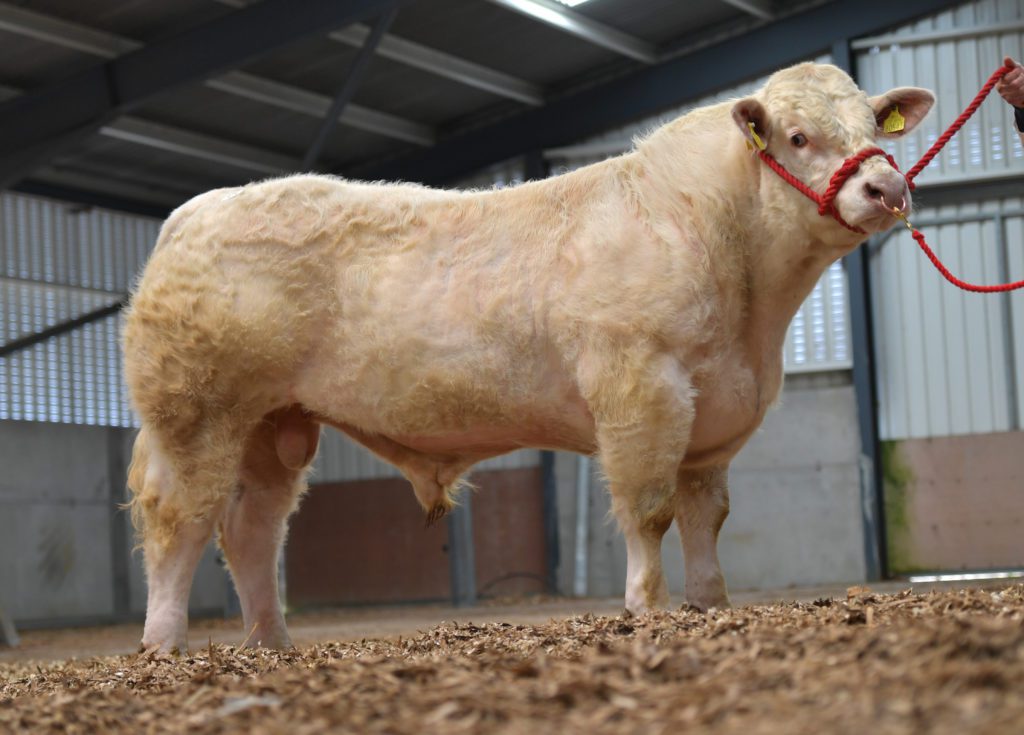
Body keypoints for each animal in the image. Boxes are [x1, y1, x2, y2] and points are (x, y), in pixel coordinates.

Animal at [123, 62, 934, 652]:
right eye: (796, 137)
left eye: (872, 124)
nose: (887, 185)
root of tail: (192, 212)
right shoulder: (639, 391)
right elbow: (649, 511)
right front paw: (647, 609)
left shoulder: (715, 419)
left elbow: (708, 518)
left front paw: (709, 605)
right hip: (197, 414)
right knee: (179, 520)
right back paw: (165, 644)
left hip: (272, 424)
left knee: (252, 528)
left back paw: (272, 642)